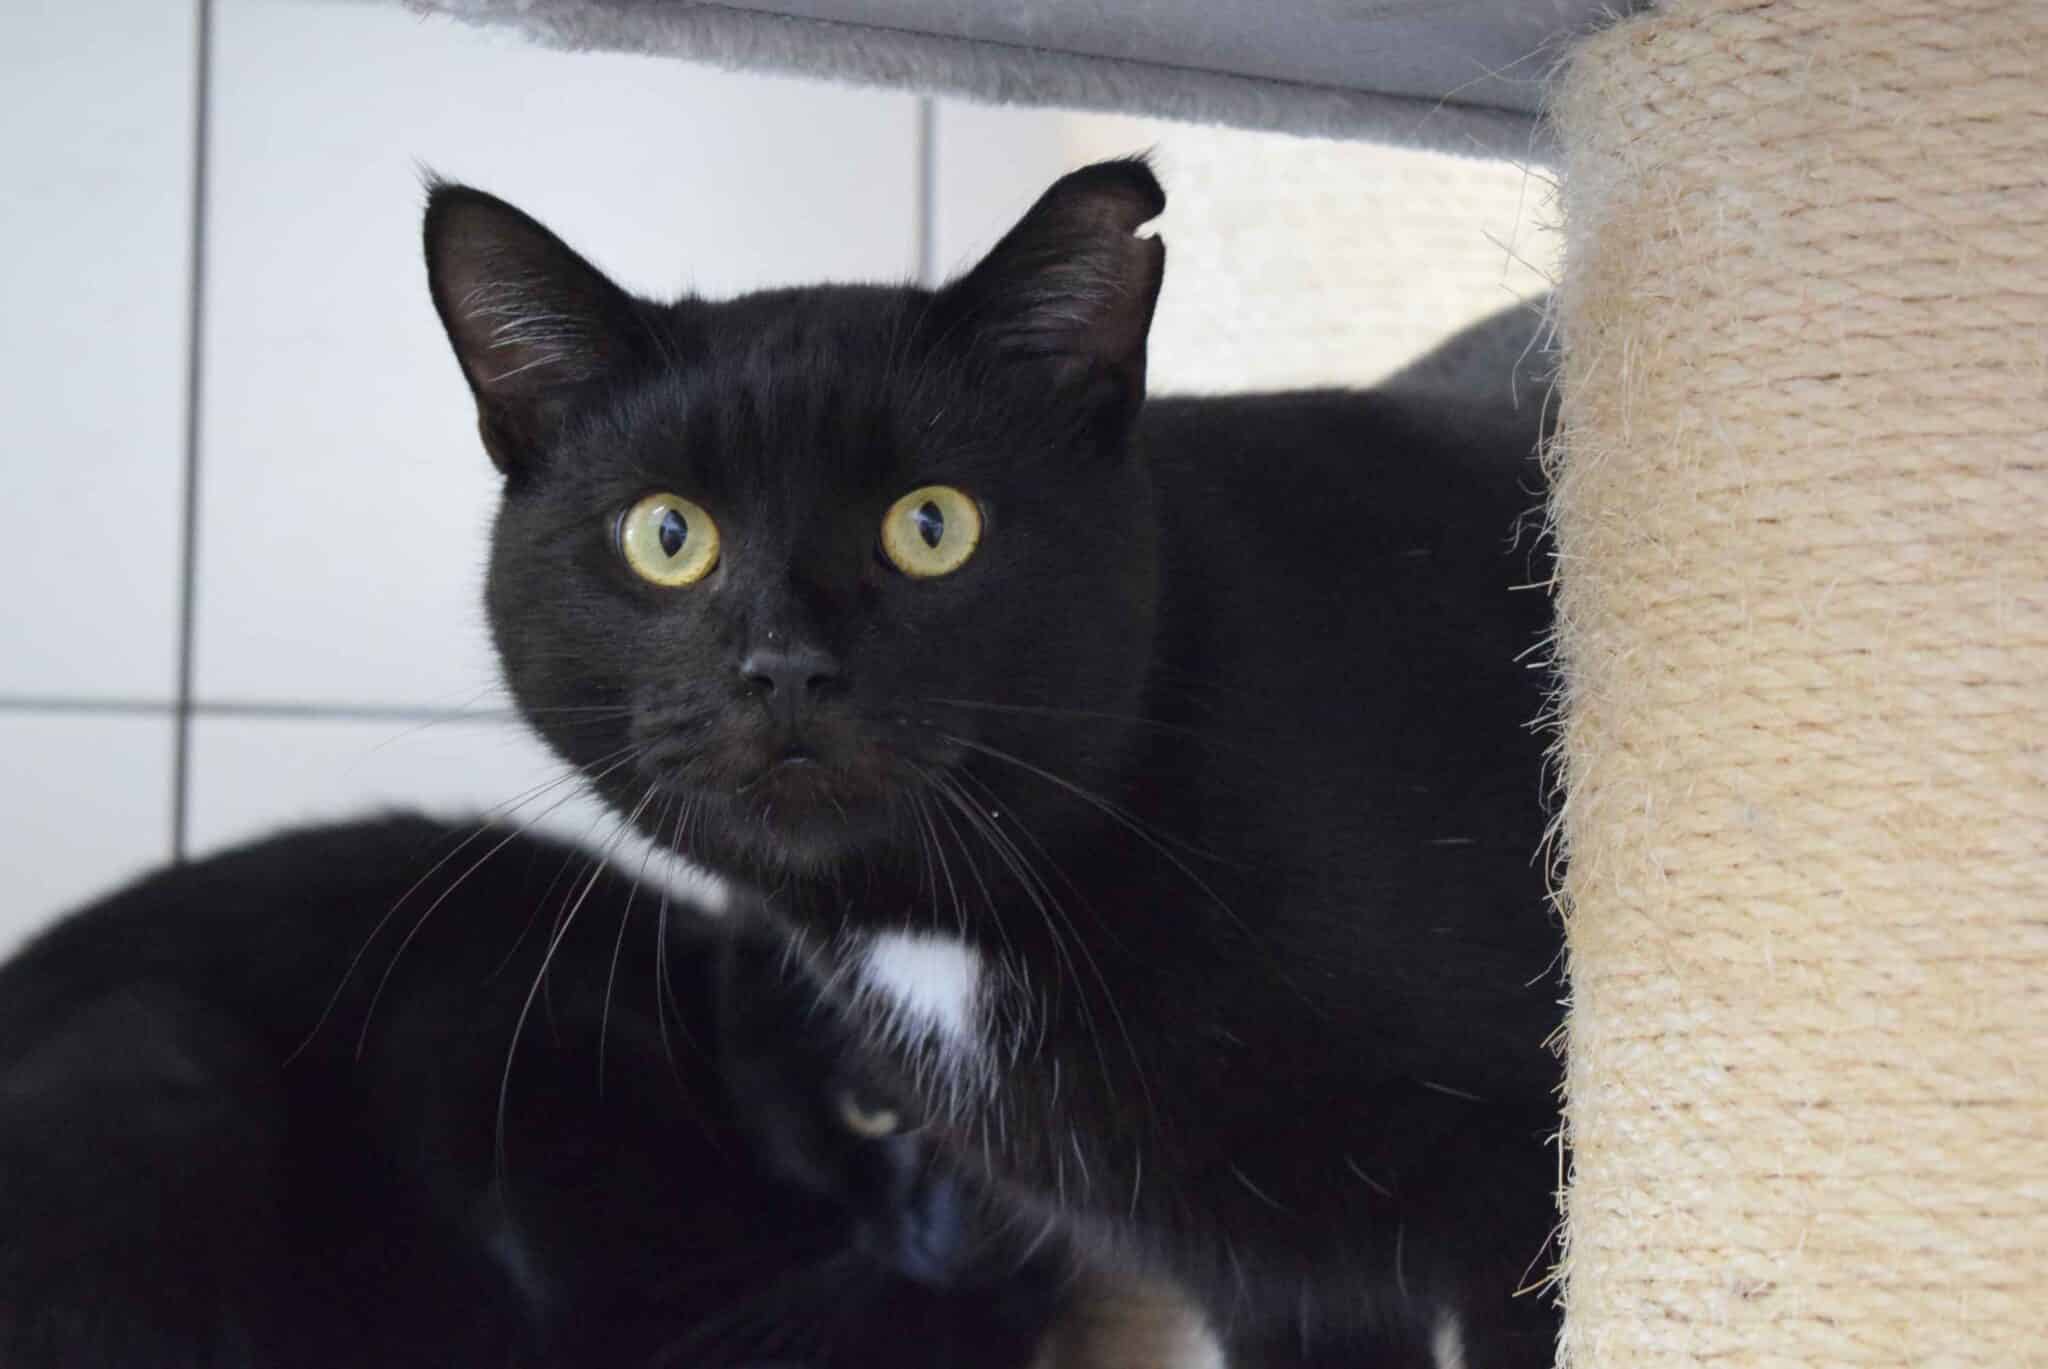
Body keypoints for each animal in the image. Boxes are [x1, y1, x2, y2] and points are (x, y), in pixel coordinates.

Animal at [425, 156, 1564, 1363]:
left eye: (933, 525)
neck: (941, 931)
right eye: (666, 534)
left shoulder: (1520, 1174)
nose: (786, 665)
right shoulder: (1273, 1280)